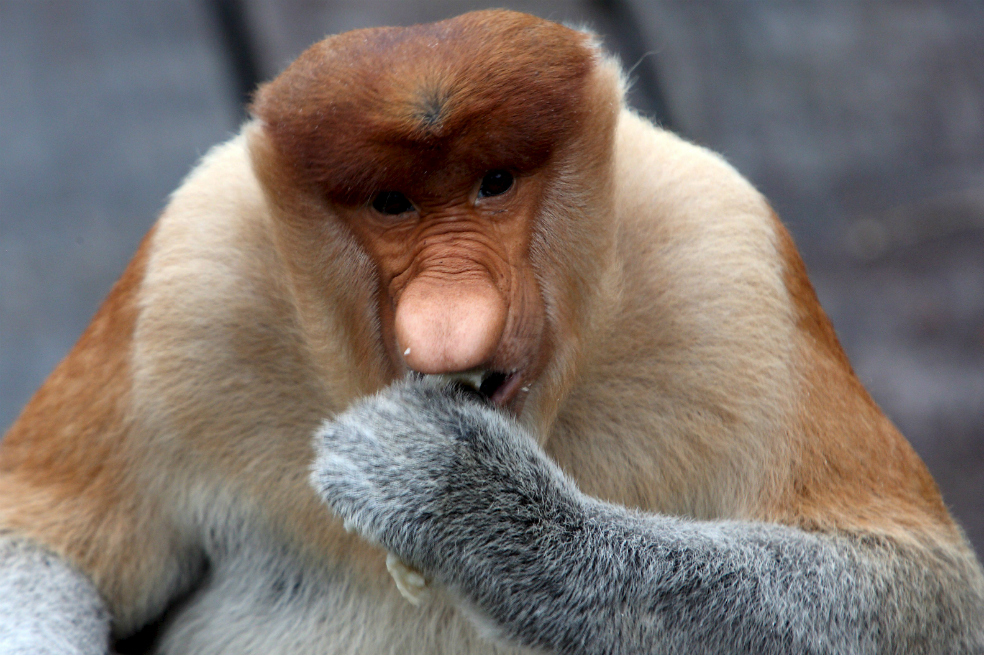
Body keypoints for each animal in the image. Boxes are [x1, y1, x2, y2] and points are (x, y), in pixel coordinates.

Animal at [1, 9, 982, 654]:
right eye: (391, 203)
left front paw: (450, 487)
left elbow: (911, 592)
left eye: (495, 182)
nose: (448, 319)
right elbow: (36, 546)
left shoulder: (729, 267)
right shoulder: (186, 283)